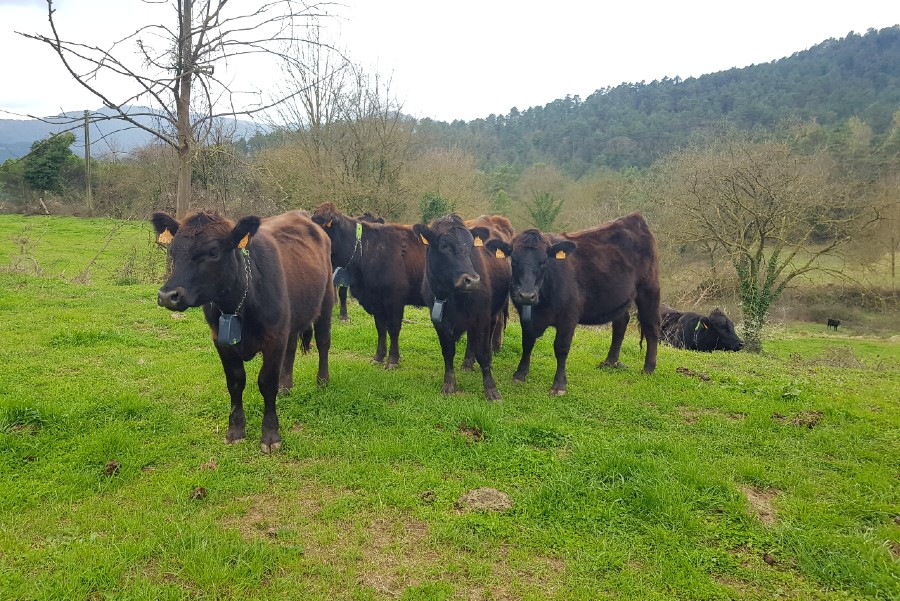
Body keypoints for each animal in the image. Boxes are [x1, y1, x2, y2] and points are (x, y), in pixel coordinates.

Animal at [151, 210, 334, 450]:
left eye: (213, 252)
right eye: (172, 251)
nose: (167, 296)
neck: (237, 305)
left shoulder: (274, 338)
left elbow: (267, 383)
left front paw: (271, 435)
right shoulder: (221, 341)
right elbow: (236, 382)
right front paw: (236, 430)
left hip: (327, 299)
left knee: (323, 342)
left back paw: (322, 381)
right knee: (292, 346)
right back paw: (286, 385)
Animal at [312, 204, 428, 368]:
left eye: (320, 224)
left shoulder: (395, 300)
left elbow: (393, 329)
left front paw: (392, 360)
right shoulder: (376, 300)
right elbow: (380, 328)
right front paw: (378, 356)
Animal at [412, 213, 510, 400]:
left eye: (471, 245)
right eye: (444, 245)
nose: (472, 281)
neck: (452, 297)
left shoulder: (482, 317)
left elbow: (483, 353)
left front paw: (491, 389)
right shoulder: (439, 321)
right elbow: (448, 352)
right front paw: (449, 384)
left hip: (491, 314)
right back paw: (467, 362)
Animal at [486, 213, 660, 396]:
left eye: (544, 261)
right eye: (514, 260)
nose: (527, 295)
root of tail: (634, 218)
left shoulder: (568, 317)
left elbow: (561, 348)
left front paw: (559, 385)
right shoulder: (526, 317)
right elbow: (527, 343)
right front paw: (520, 374)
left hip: (649, 288)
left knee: (651, 327)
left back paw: (648, 368)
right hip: (620, 297)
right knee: (620, 323)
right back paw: (610, 361)